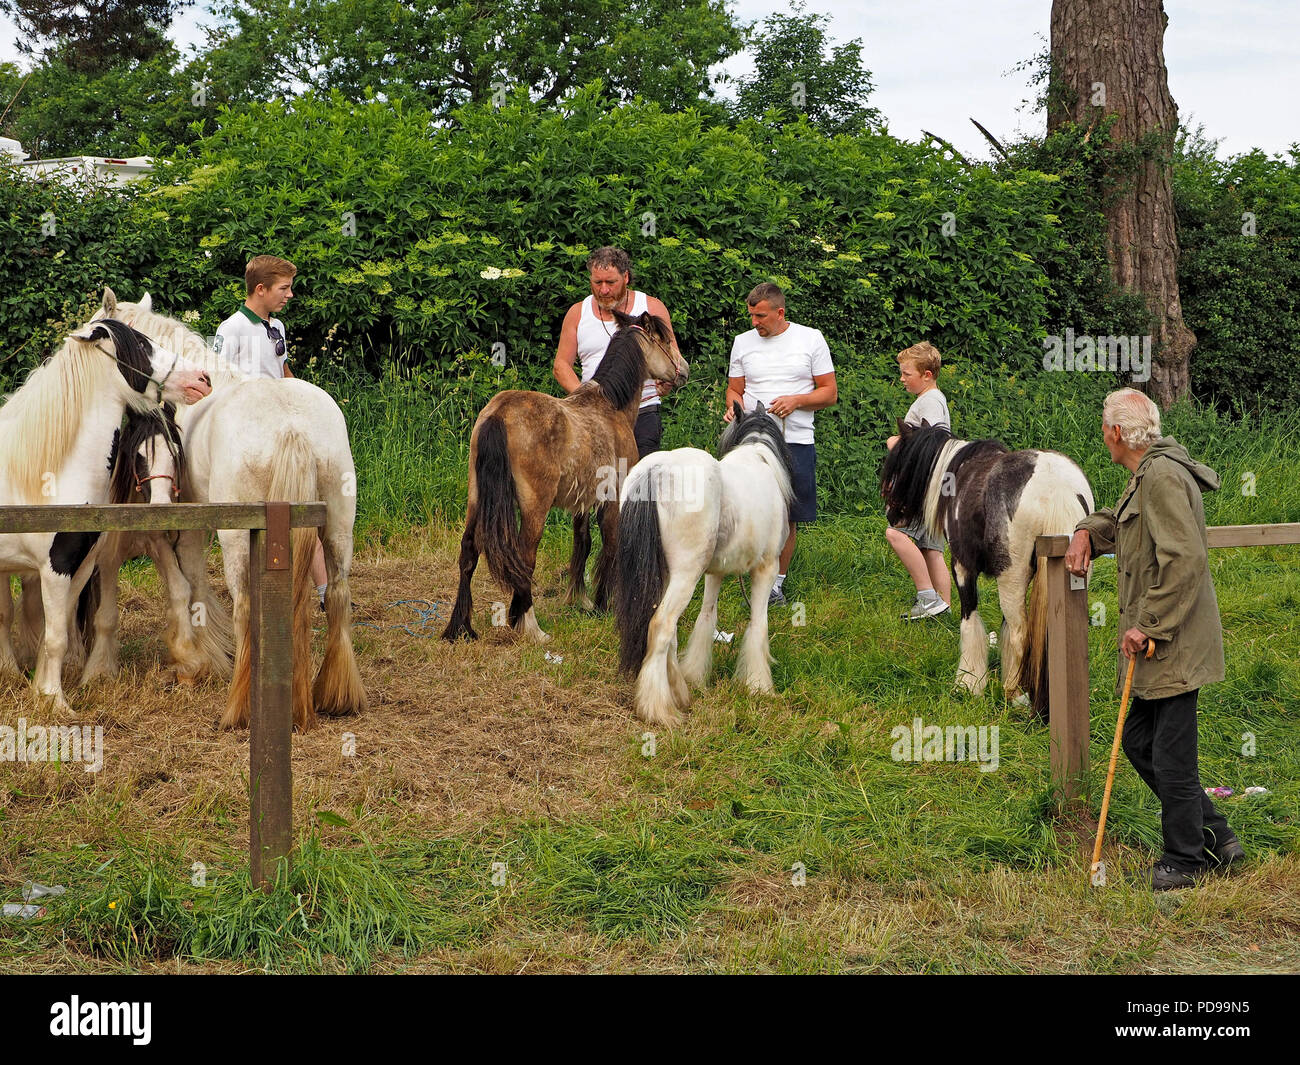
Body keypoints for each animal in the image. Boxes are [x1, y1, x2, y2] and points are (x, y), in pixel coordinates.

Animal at [0, 318, 211, 711]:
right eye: (142, 346)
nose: (202, 378)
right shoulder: (55, 566)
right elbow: (55, 637)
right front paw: (56, 703)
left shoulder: (82, 566)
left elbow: (57, 632)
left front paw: (44, 689)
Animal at [92, 289, 366, 732]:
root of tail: (291, 426)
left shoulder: (194, 524)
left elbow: (191, 582)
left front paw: (197, 657)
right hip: (339, 528)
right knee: (338, 595)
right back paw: (336, 695)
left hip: (237, 538)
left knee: (245, 607)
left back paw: (241, 707)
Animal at [442, 308, 688, 645]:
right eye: (665, 339)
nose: (684, 369)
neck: (609, 407)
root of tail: (499, 414)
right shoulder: (612, 500)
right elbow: (610, 547)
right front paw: (601, 606)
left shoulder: (582, 502)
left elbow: (582, 543)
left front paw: (579, 600)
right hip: (534, 507)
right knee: (525, 558)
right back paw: (531, 628)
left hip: (476, 497)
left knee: (468, 552)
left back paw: (460, 628)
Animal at [615, 402, 794, 727]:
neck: (757, 457)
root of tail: (657, 471)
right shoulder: (766, 569)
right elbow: (758, 623)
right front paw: (758, 686)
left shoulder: (715, 573)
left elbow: (706, 617)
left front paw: (696, 675)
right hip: (685, 576)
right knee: (661, 626)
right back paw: (659, 709)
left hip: (669, 574)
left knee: (668, 630)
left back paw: (678, 691)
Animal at [879, 420, 1094, 712]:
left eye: (897, 467)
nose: (891, 515)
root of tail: (1057, 489)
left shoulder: (962, 568)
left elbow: (971, 624)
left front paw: (968, 683)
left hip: (1011, 577)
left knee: (1020, 633)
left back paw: (1013, 694)